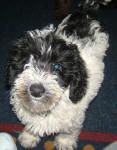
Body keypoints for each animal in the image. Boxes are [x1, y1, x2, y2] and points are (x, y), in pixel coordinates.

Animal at [5, 0, 109, 149]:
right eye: (27, 61)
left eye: (57, 67)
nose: (36, 90)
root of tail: (87, 11)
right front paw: (29, 137)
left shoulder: (74, 116)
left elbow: (68, 130)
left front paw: (65, 142)